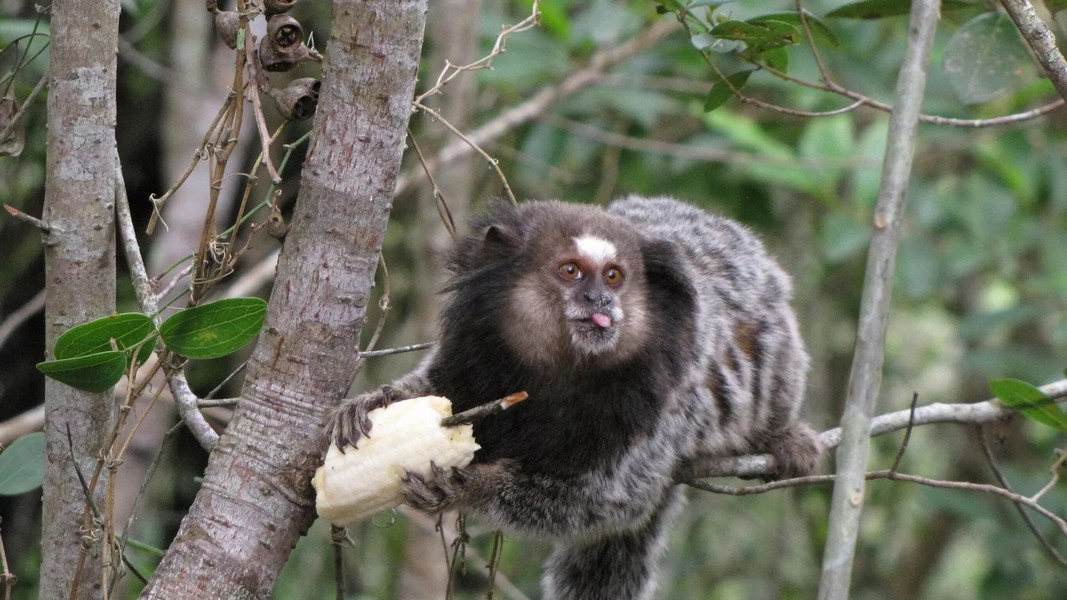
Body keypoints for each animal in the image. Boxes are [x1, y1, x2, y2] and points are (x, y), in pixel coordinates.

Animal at [328, 196, 819, 597]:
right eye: (570, 270)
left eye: (615, 277)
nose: (600, 300)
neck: (560, 369)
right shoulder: (473, 348)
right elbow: (439, 390)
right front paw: (373, 402)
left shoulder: (658, 402)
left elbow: (608, 499)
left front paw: (466, 486)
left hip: (776, 345)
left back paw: (781, 437)